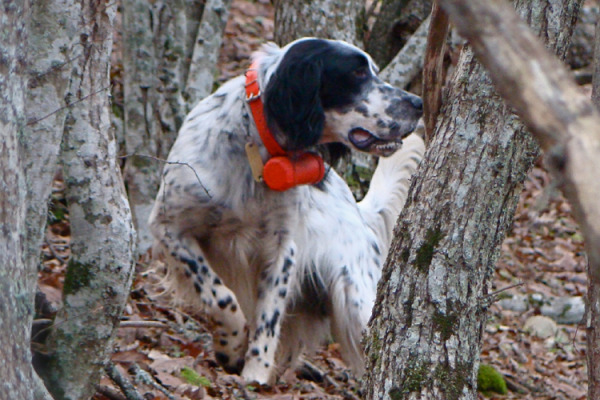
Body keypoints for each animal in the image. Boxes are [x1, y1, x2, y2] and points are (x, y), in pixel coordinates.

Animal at [148, 37, 424, 384]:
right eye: (358, 73)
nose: (418, 102)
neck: (256, 153)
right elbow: (221, 296)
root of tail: (358, 210)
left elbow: (267, 319)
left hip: (356, 298)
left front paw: (254, 374)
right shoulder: (169, 227)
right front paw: (231, 347)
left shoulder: (282, 249)